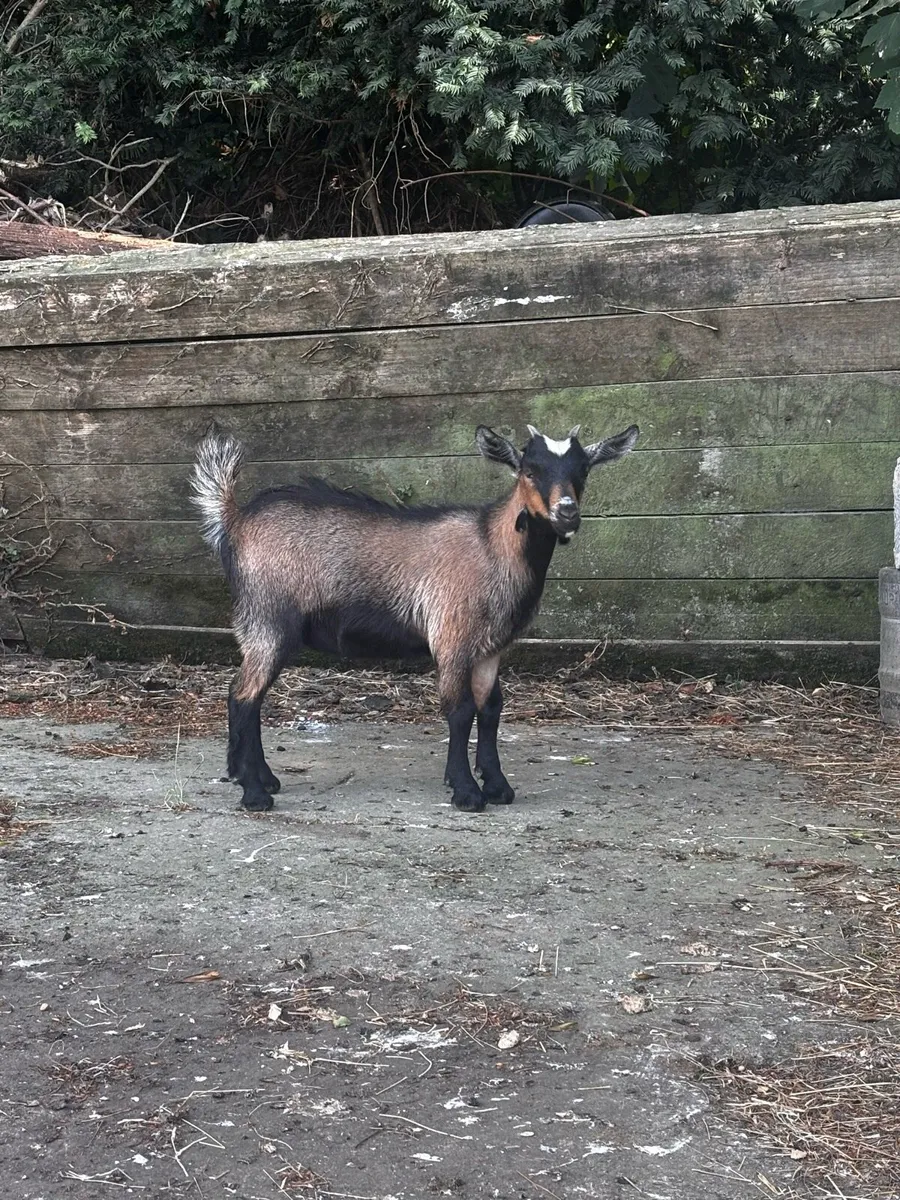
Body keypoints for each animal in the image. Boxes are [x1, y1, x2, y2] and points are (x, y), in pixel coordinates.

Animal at [191, 420, 638, 813]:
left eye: (583, 470)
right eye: (529, 470)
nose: (567, 512)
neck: (493, 545)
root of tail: (234, 520)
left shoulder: (491, 647)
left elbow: (491, 707)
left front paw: (497, 786)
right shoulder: (452, 637)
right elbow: (460, 710)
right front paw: (466, 792)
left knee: (241, 694)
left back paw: (254, 777)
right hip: (269, 618)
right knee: (246, 696)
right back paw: (254, 794)